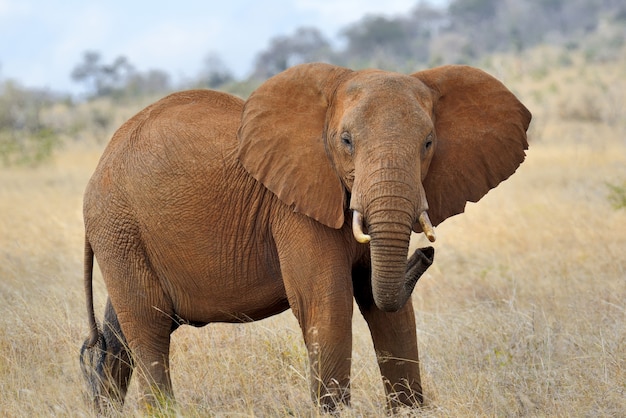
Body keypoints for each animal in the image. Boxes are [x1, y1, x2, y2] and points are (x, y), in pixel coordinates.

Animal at [78, 62, 528, 412]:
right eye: (346, 142)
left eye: (429, 143)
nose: (426, 254)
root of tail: (98, 166)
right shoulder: (292, 208)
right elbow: (327, 307)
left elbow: (390, 313)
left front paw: (409, 410)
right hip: (118, 227)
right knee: (149, 329)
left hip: (124, 235)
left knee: (118, 337)